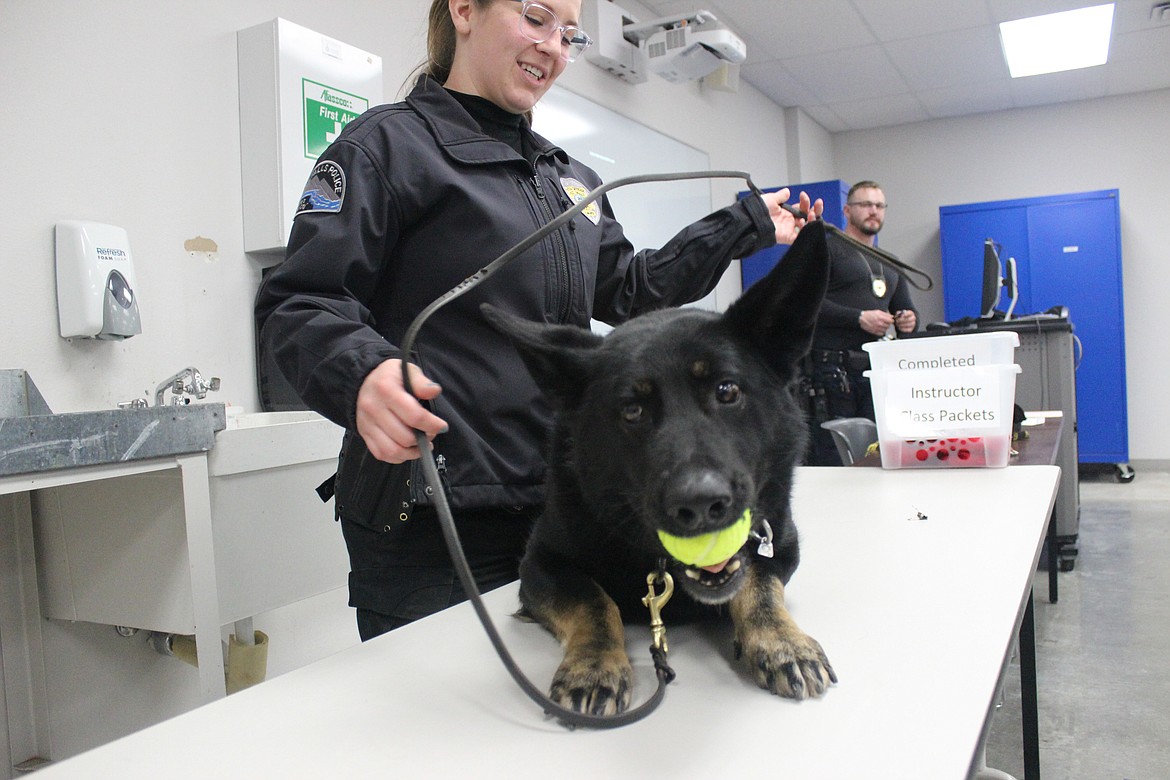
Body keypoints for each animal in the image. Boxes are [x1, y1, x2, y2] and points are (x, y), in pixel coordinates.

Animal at [479, 219, 837, 715]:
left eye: (727, 391)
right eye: (632, 411)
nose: (702, 505)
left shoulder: (780, 544)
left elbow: (759, 583)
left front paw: (782, 640)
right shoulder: (539, 563)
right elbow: (593, 600)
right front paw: (595, 664)